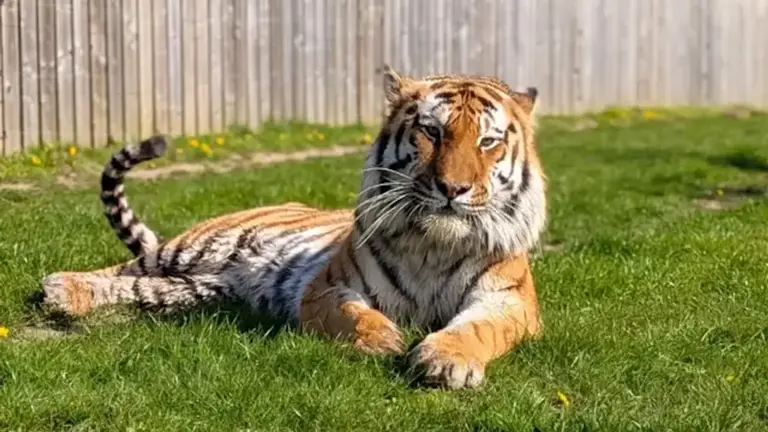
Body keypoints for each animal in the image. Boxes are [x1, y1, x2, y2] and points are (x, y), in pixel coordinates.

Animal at [42, 65, 547, 390]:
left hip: (196, 289)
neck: (435, 245)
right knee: (123, 268)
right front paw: (383, 340)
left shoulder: (509, 301)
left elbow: (477, 329)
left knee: (139, 287)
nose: (452, 188)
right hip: (195, 247)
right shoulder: (327, 288)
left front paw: (446, 360)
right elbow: (354, 315)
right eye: (432, 132)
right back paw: (60, 287)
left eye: (487, 142)